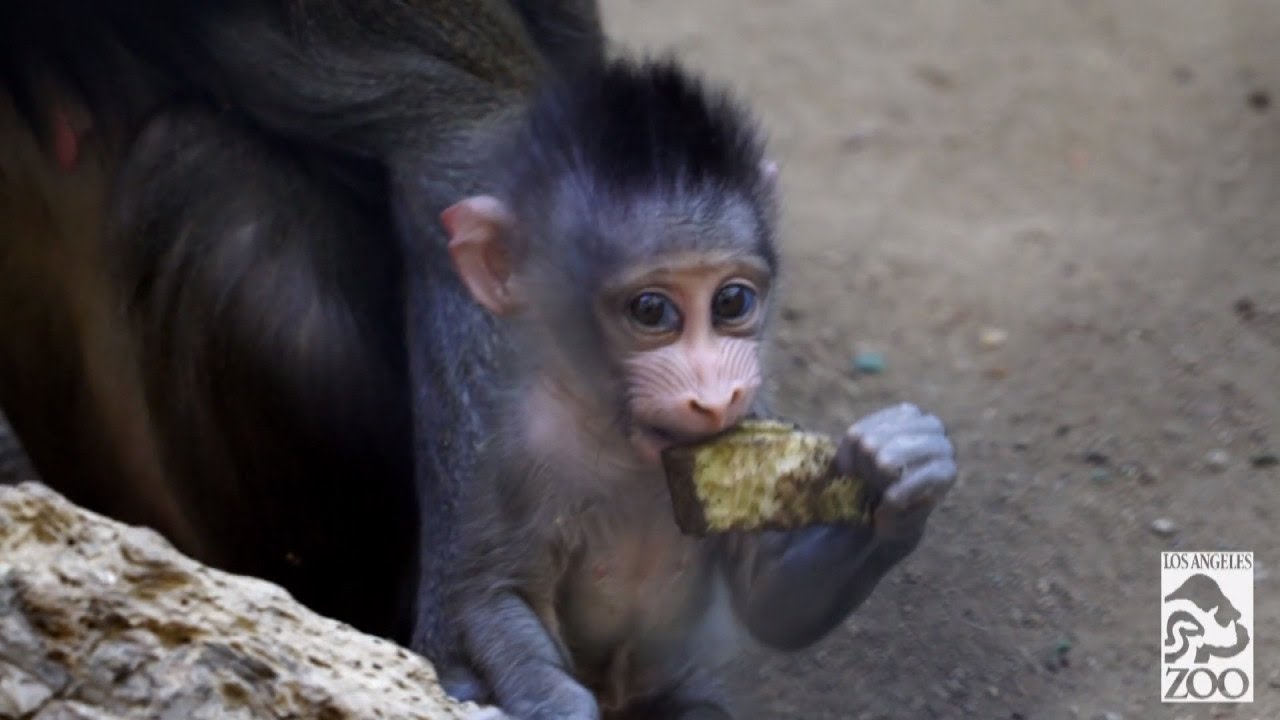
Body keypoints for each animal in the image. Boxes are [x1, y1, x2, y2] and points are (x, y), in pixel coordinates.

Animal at [437, 58, 958, 719]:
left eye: (731, 301)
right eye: (652, 311)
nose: (714, 395)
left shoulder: (753, 412)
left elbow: (772, 601)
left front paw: (903, 468)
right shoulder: (521, 451)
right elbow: (494, 596)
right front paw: (553, 701)